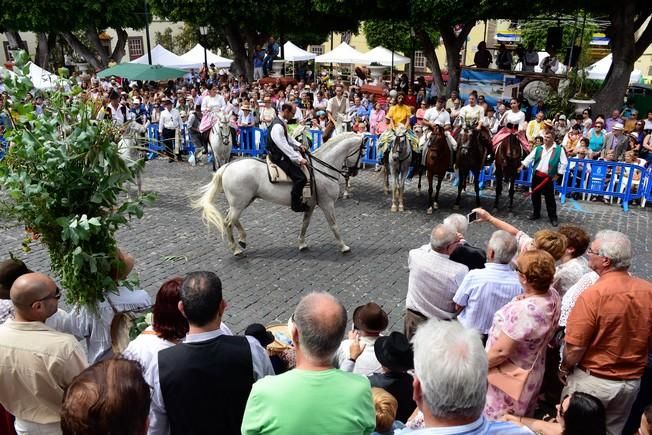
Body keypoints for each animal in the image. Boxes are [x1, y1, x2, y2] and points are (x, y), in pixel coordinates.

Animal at [194, 133, 366, 255]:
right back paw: (237, 246)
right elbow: (334, 225)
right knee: (229, 221)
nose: (355, 172)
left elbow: (305, 224)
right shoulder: (327, 204)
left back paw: (239, 242)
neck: (321, 169)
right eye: (363, 152)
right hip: (239, 204)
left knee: (229, 219)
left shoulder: (310, 205)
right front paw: (343, 246)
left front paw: (302, 244)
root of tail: (227, 166)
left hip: (243, 202)